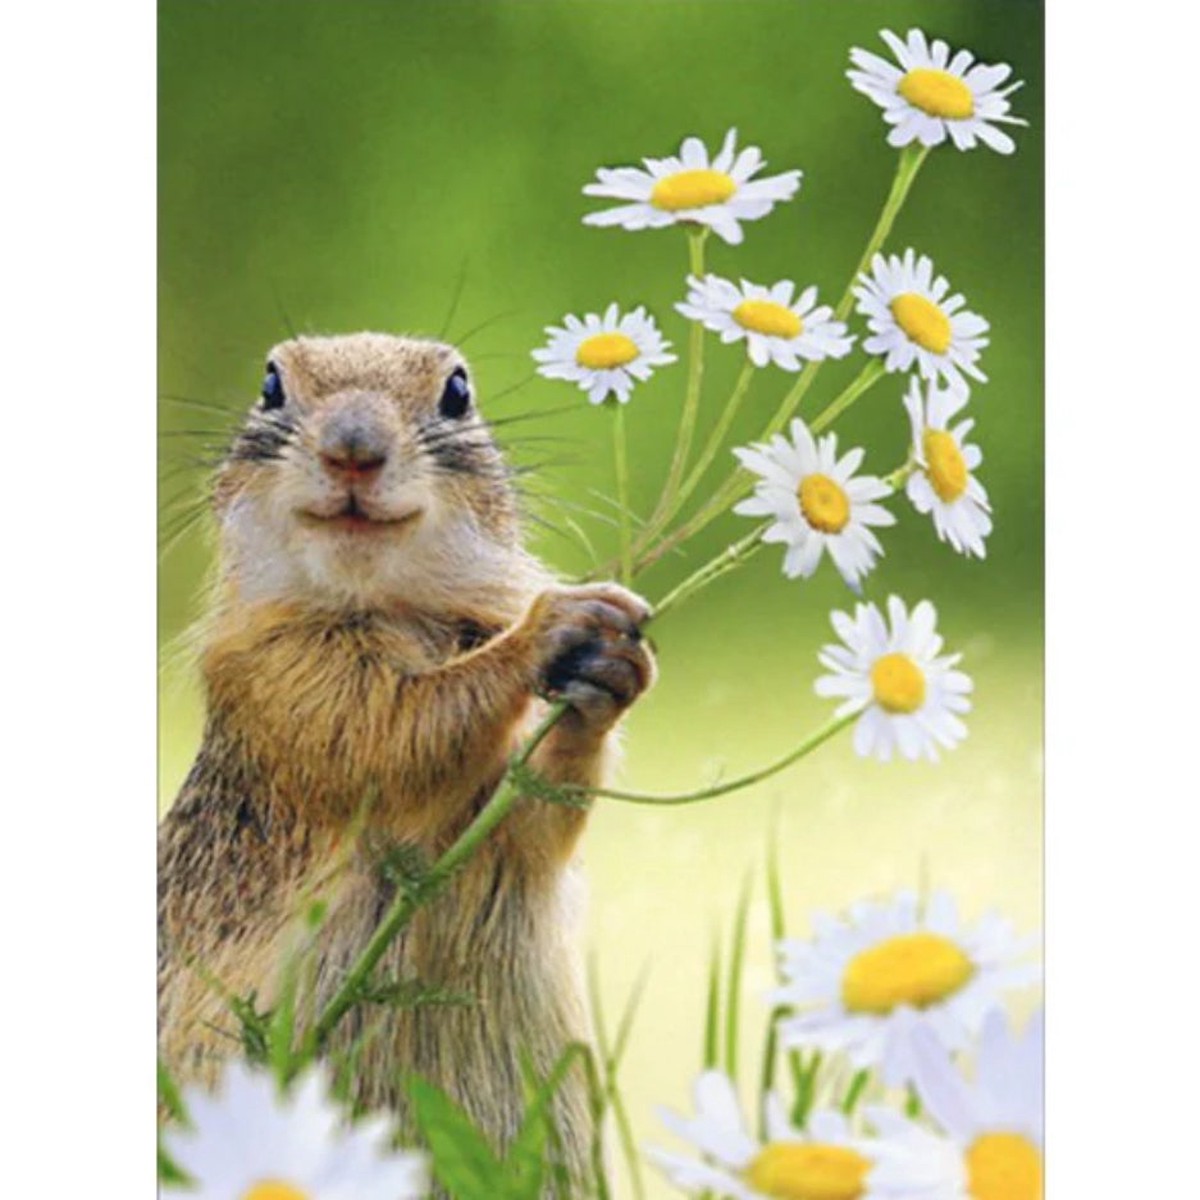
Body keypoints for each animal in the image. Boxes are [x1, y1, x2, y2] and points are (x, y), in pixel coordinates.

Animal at [158, 332, 656, 1186]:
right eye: (270, 385)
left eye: (457, 392)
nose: (353, 449)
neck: (389, 606)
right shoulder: (274, 675)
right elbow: (393, 730)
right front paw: (549, 626)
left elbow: (534, 817)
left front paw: (611, 663)